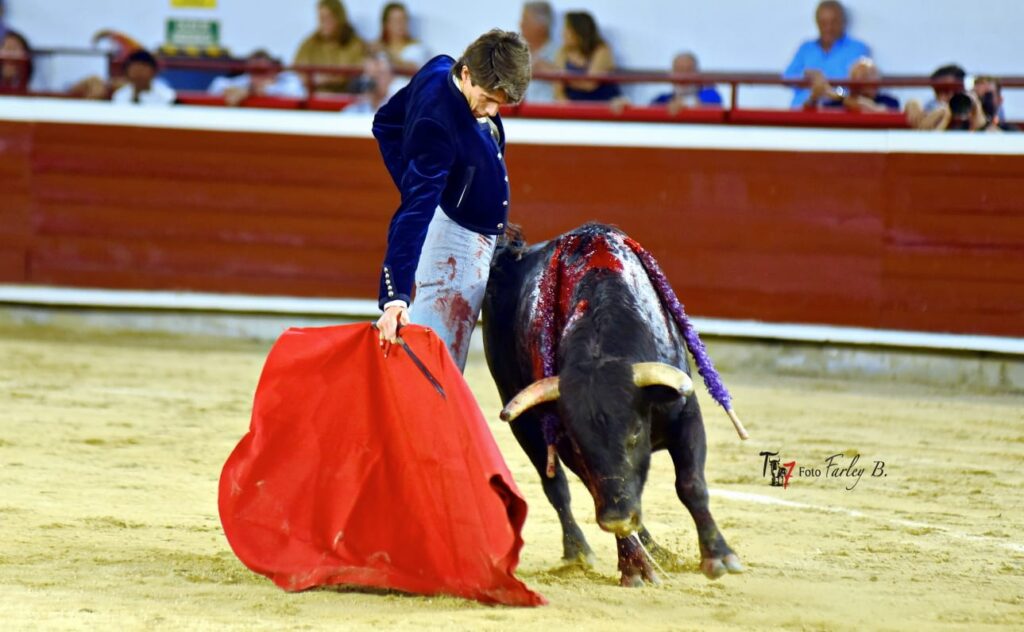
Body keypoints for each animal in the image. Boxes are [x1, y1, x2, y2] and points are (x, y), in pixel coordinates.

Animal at [482, 223, 747, 587]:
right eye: (581, 444)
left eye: (634, 434)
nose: (616, 518)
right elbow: (597, 489)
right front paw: (634, 567)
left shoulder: (686, 414)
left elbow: (691, 484)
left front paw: (719, 557)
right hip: (523, 423)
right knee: (558, 487)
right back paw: (581, 551)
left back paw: (657, 550)